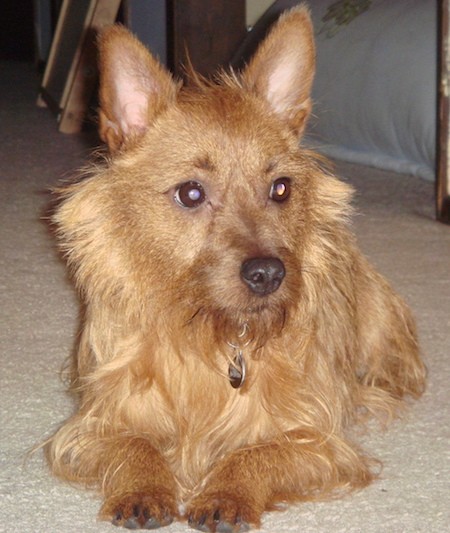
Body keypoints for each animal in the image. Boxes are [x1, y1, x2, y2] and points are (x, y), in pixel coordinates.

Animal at [47, 5, 428, 532]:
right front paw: (145, 486)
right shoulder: (92, 426)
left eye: (281, 188)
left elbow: (256, 453)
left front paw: (227, 492)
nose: (268, 273)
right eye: (190, 193)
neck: (213, 335)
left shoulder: (317, 439)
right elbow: (135, 444)